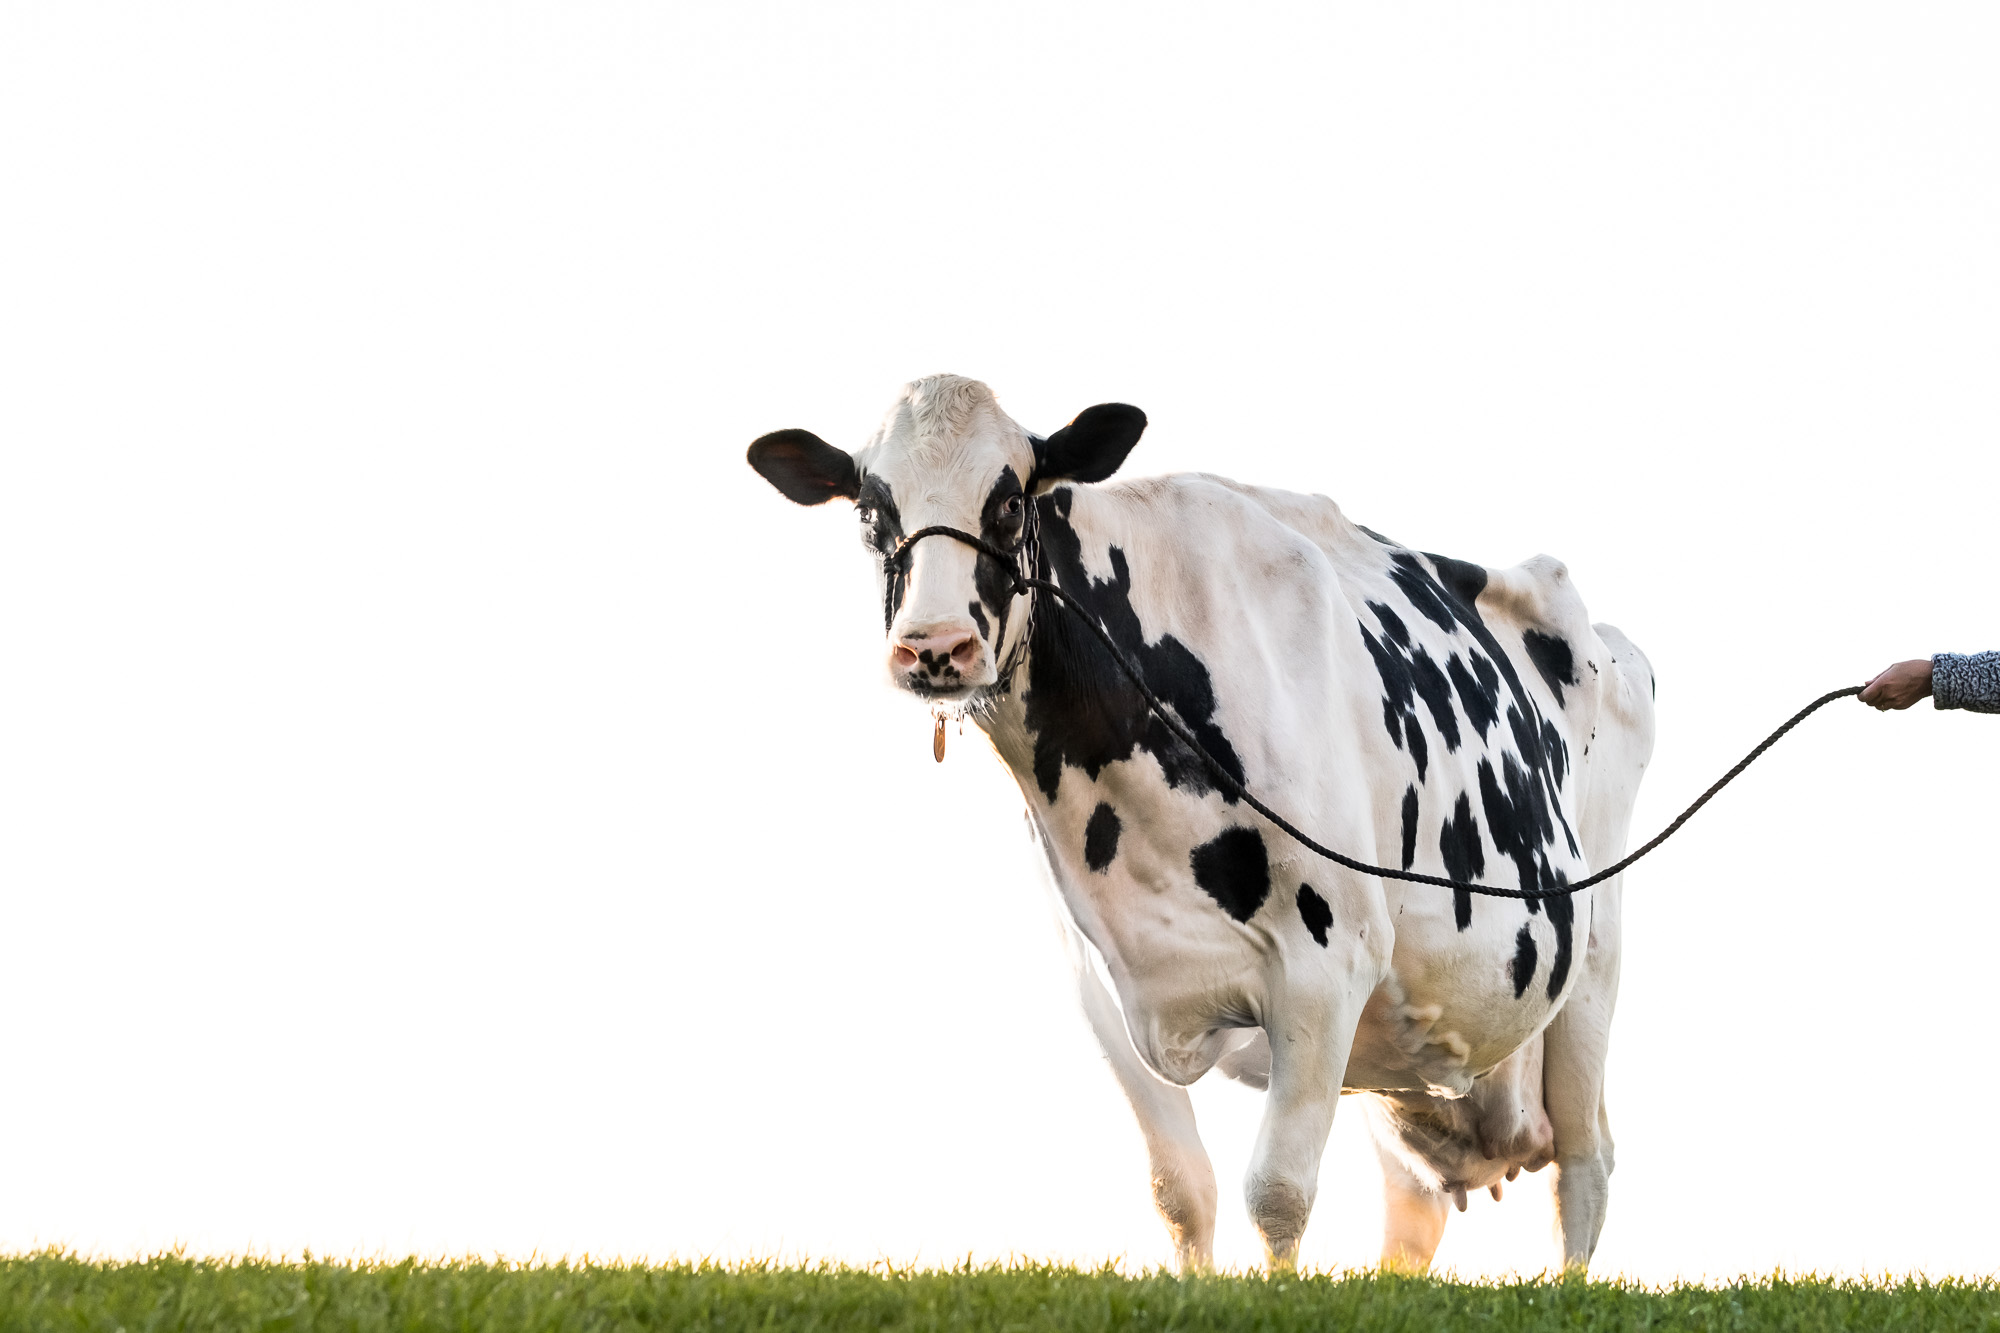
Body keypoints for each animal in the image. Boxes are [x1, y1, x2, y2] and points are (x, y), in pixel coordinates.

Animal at [746, 374, 1656, 1272]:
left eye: (1008, 502)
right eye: (872, 512)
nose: (935, 646)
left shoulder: (1329, 964)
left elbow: (1278, 1191)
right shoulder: (1100, 983)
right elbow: (1180, 1189)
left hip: (1592, 966)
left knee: (1584, 1168)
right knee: (1414, 1208)